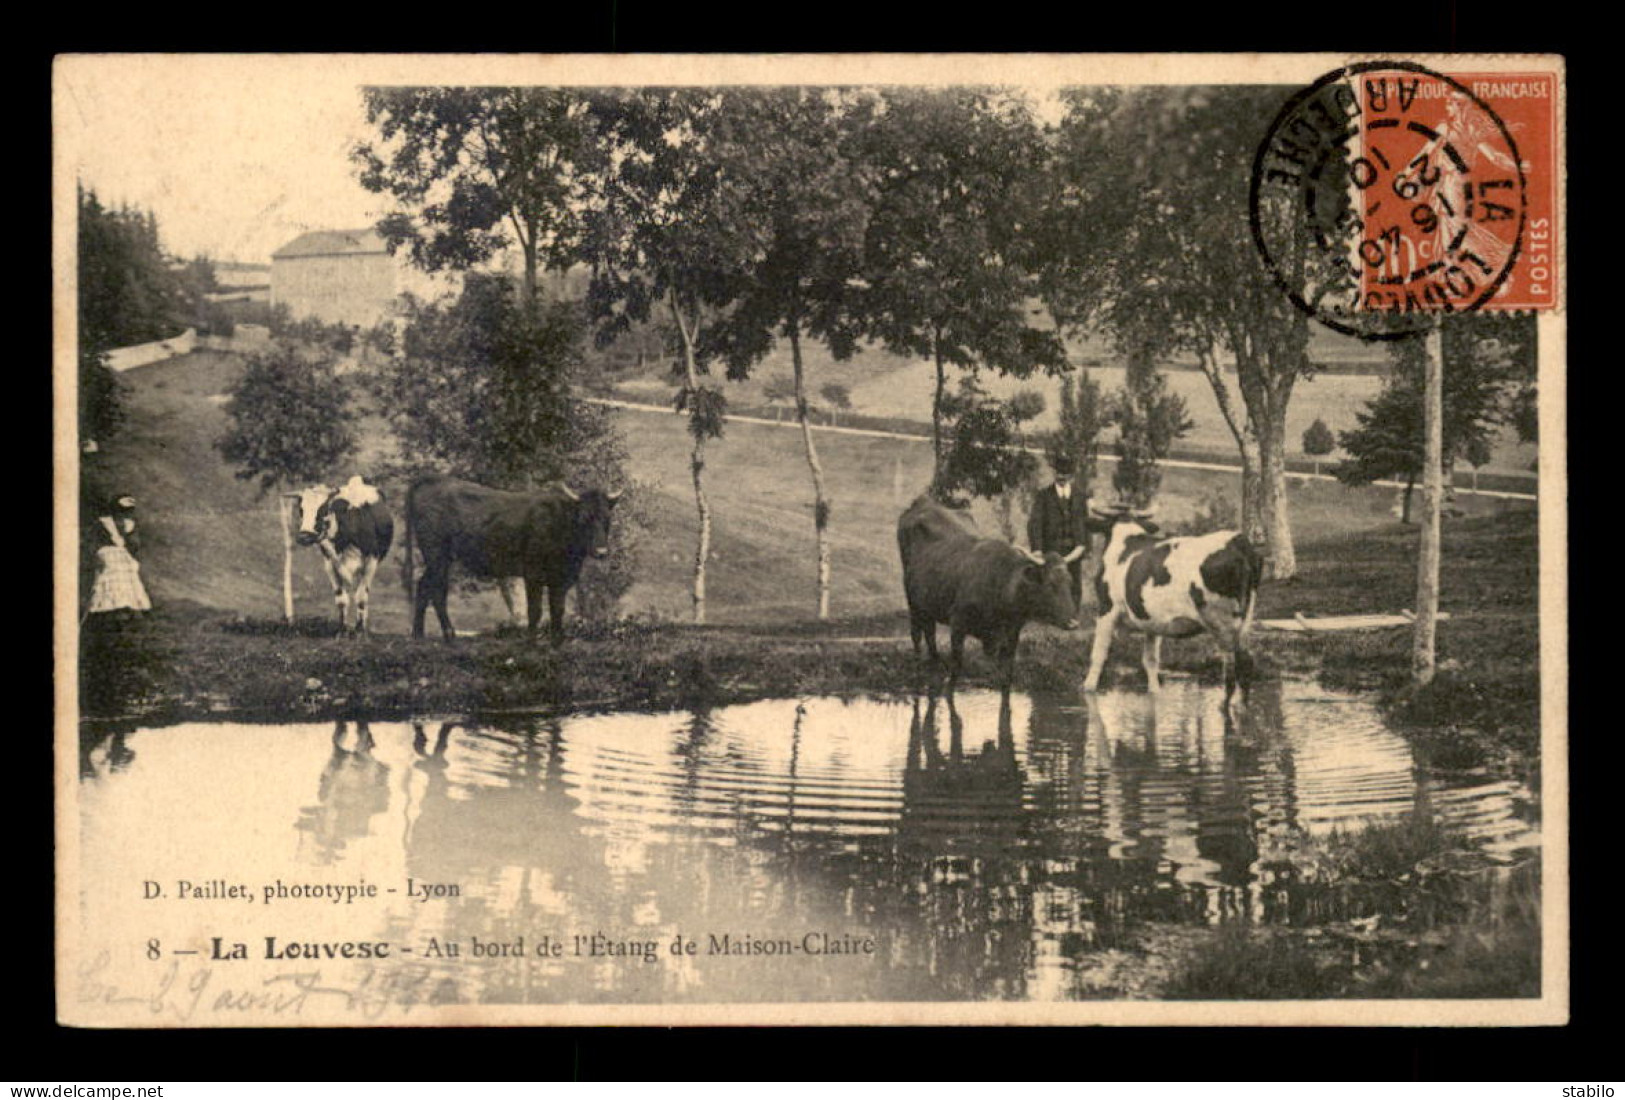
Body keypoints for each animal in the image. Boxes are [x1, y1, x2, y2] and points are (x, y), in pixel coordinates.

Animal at [289, 474, 396, 633]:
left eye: (324, 509)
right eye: (301, 509)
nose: (304, 536)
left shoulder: (371, 560)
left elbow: (361, 596)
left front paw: (359, 629)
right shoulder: (330, 563)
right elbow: (341, 599)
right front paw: (342, 629)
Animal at [403, 474, 617, 643]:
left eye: (607, 518)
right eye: (584, 518)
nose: (601, 551)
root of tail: (434, 479)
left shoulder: (561, 578)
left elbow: (558, 609)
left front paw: (557, 642)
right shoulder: (533, 573)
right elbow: (535, 610)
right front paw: (531, 642)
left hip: (442, 558)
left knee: (425, 586)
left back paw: (419, 634)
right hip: (436, 553)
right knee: (436, 589)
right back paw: (447, 633)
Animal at [903, 493, 1079, 682]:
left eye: (1069, 582)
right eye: (1049, 584)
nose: (1074, 622)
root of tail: (923, 502)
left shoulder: (1011, 633)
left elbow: (1005, 667)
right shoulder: (957, 622)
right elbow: (957, 663)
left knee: (930, 629)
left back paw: (935, 661)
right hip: (913, 602)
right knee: (917, 632)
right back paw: (919, 664)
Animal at [1085, 506, 1261, 705]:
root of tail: (1238, 541)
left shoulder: (1106, 609)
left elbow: (1098, 654)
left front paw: (1088, 688)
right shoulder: (1151, 621)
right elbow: (1150, 660)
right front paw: (1154, 691)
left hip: (1222, 622)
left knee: (1231, 666)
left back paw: (1225, 705)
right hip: (1245, 620)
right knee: (1246, 662)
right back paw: (1242, 704)